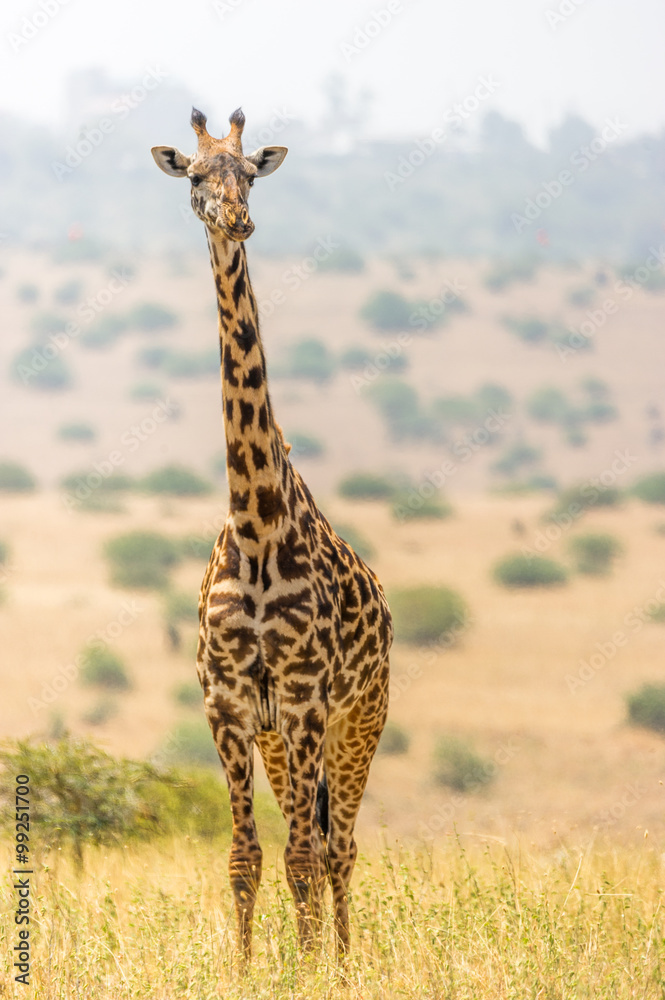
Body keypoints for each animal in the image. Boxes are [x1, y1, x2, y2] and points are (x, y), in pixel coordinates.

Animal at [152, 107, 393, 960]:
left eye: (250, 174)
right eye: (196, 174)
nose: (237, 220)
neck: (255, 525)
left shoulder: (302, 695)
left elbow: (302, 854)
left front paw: (311, 968)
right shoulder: (228, 702)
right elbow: (245, 856)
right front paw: (251, 968)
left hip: (359, 717)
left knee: (338, 844)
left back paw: (344, 961)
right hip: (284, 737)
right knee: (310, 840)